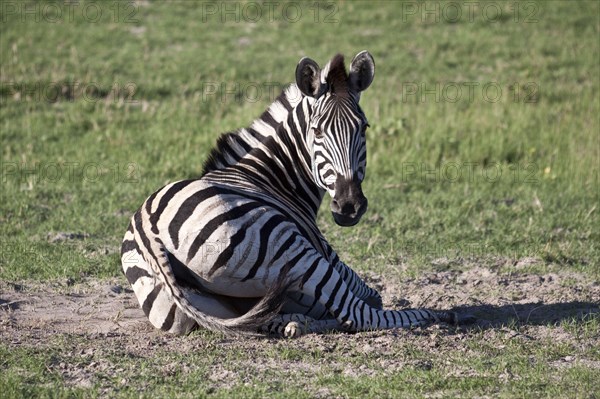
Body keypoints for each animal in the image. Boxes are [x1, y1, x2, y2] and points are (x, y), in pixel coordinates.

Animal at [120, 50, 460, 338]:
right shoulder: (329, 255)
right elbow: (371, 296)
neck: (268, 175)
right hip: (291, 247)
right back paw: (433, 316)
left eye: (363, 128)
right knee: (359, 314)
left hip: (188, 308)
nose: (350, 206)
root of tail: (149, 229)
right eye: (317, 131)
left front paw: (297, 318)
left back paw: (294, 322)